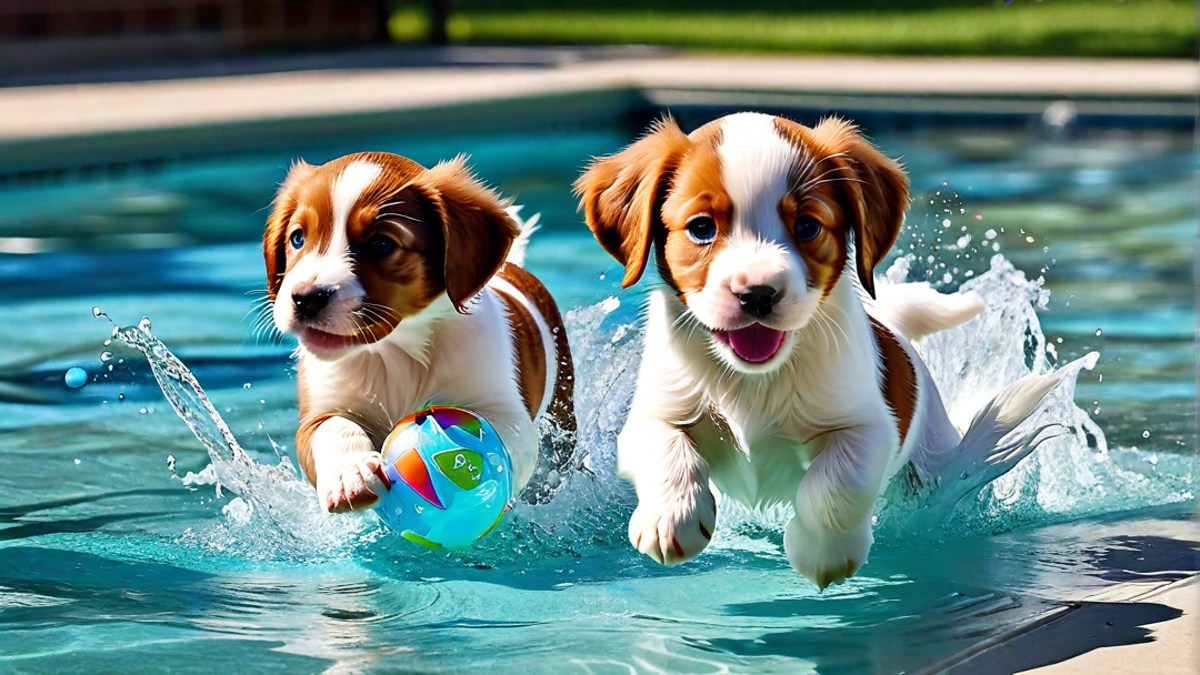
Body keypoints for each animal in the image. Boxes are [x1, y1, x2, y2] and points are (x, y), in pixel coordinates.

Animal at [265, 151, 573, 509]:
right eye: (297, 238)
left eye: (381, 244)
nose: (306, 299)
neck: (393, 352)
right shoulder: (317, 416)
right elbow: (336, 429)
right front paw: (350, 475)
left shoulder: (508, 414)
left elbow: (488, 434)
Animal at [576, 112, 1075, 586]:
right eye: (701, 228)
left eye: (806, 226)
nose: (757, 294)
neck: (756, 379)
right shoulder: (655, 412)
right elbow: (666, 448)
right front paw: (672, 518)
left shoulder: (867, 427)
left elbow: (833, 483)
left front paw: (823, 551)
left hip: (931, 461)